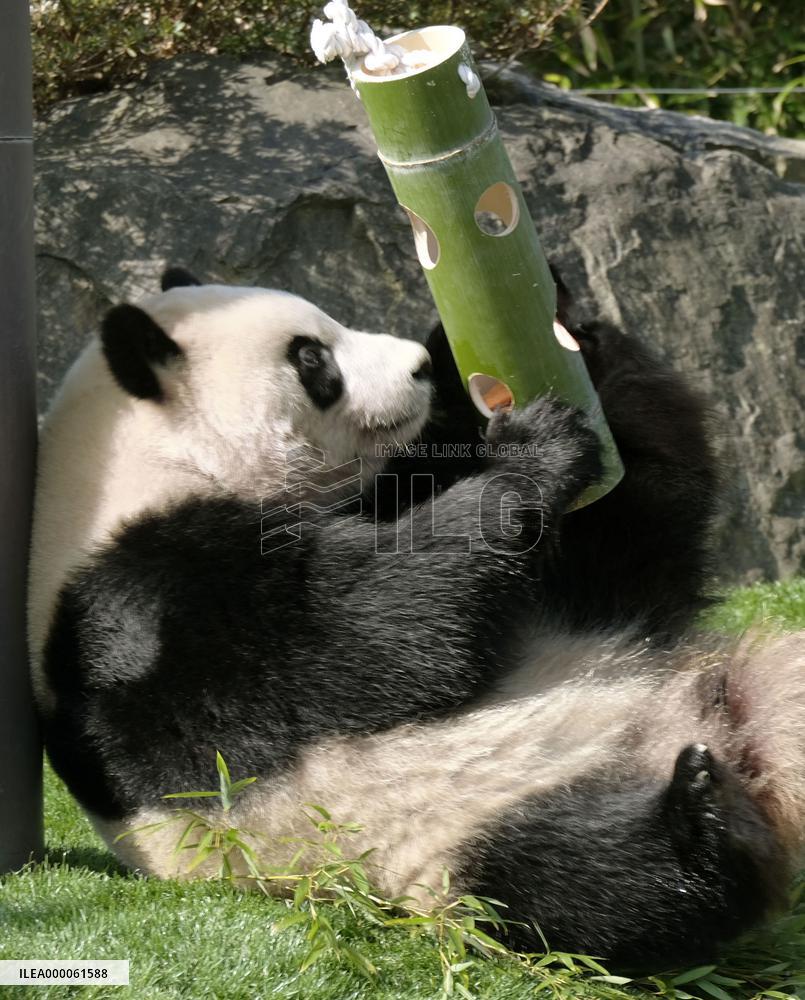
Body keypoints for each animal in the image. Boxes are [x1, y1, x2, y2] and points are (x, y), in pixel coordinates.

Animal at [28, 265, 805, 974]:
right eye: (311, 358)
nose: (419, 367)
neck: (152, 456)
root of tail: (709, 719)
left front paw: (528, 338)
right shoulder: (144, 591)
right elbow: (369, 632)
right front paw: (532, 452)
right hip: (446, 835)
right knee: (583, 884)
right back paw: (699, 821)